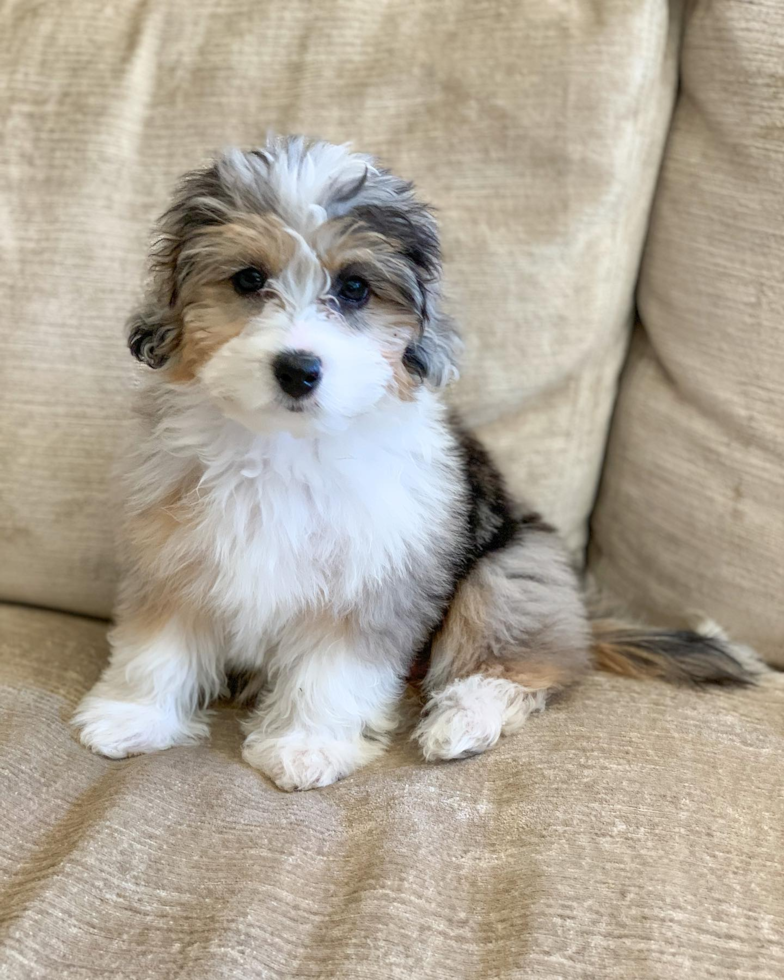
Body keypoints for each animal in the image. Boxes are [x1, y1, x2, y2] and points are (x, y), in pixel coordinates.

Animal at [72, 136, 760, 788]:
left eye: (354, 288)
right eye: (247, 280)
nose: (298, 369)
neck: (284, 445)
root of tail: (585, 620)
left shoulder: (374, 577)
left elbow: (333, 668)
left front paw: (307, 745)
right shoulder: (173, 555)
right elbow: (158, 647)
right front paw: (133, 716)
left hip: (511, 573)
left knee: (518, 665)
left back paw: (462, 721)